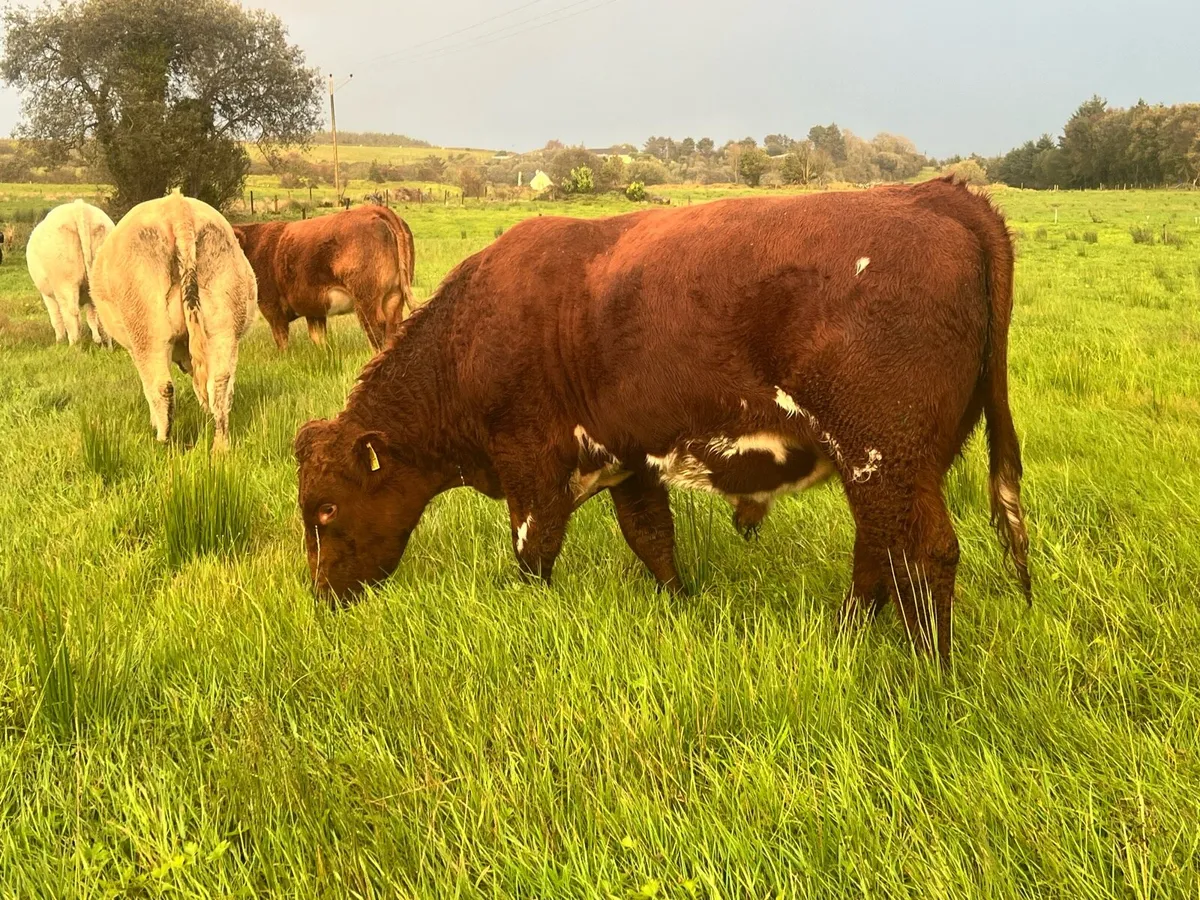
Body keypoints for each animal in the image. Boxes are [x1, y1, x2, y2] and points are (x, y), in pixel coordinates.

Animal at [26, 199, 115, 347]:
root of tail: (78, 205)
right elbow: (91, 317)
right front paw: (96, 339)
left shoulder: (48, 295)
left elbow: (56, 318)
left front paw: (59, 341)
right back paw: (107, 346)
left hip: (65, 283)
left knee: (70, 313)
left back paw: (73, 345)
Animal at [90, 190, 258, 451]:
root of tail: (176, 207)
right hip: (223, 326)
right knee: (220, 383)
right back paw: (220, 446)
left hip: (147, 329)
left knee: (162, 386)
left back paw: (163, 438)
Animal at [232, 205, 415, 351]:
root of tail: (373, 209)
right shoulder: (313, 307)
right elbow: (318, 339)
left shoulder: (271, 306)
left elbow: (281, 341)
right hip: (393, 296)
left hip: (366, 298)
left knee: (376, 329)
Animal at [293, 177, 1031, 664]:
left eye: (325, 507)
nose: (320, 597)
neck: (466, 335)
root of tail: (937, 193)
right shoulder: (629, 458)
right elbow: (652, 539)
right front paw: (681, 604)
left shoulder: (530, 465)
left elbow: (534, 556)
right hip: (887, 467)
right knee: (878, 550)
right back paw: (844, 639)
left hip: (887, 456)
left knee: (924, 555)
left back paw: (931, 675)